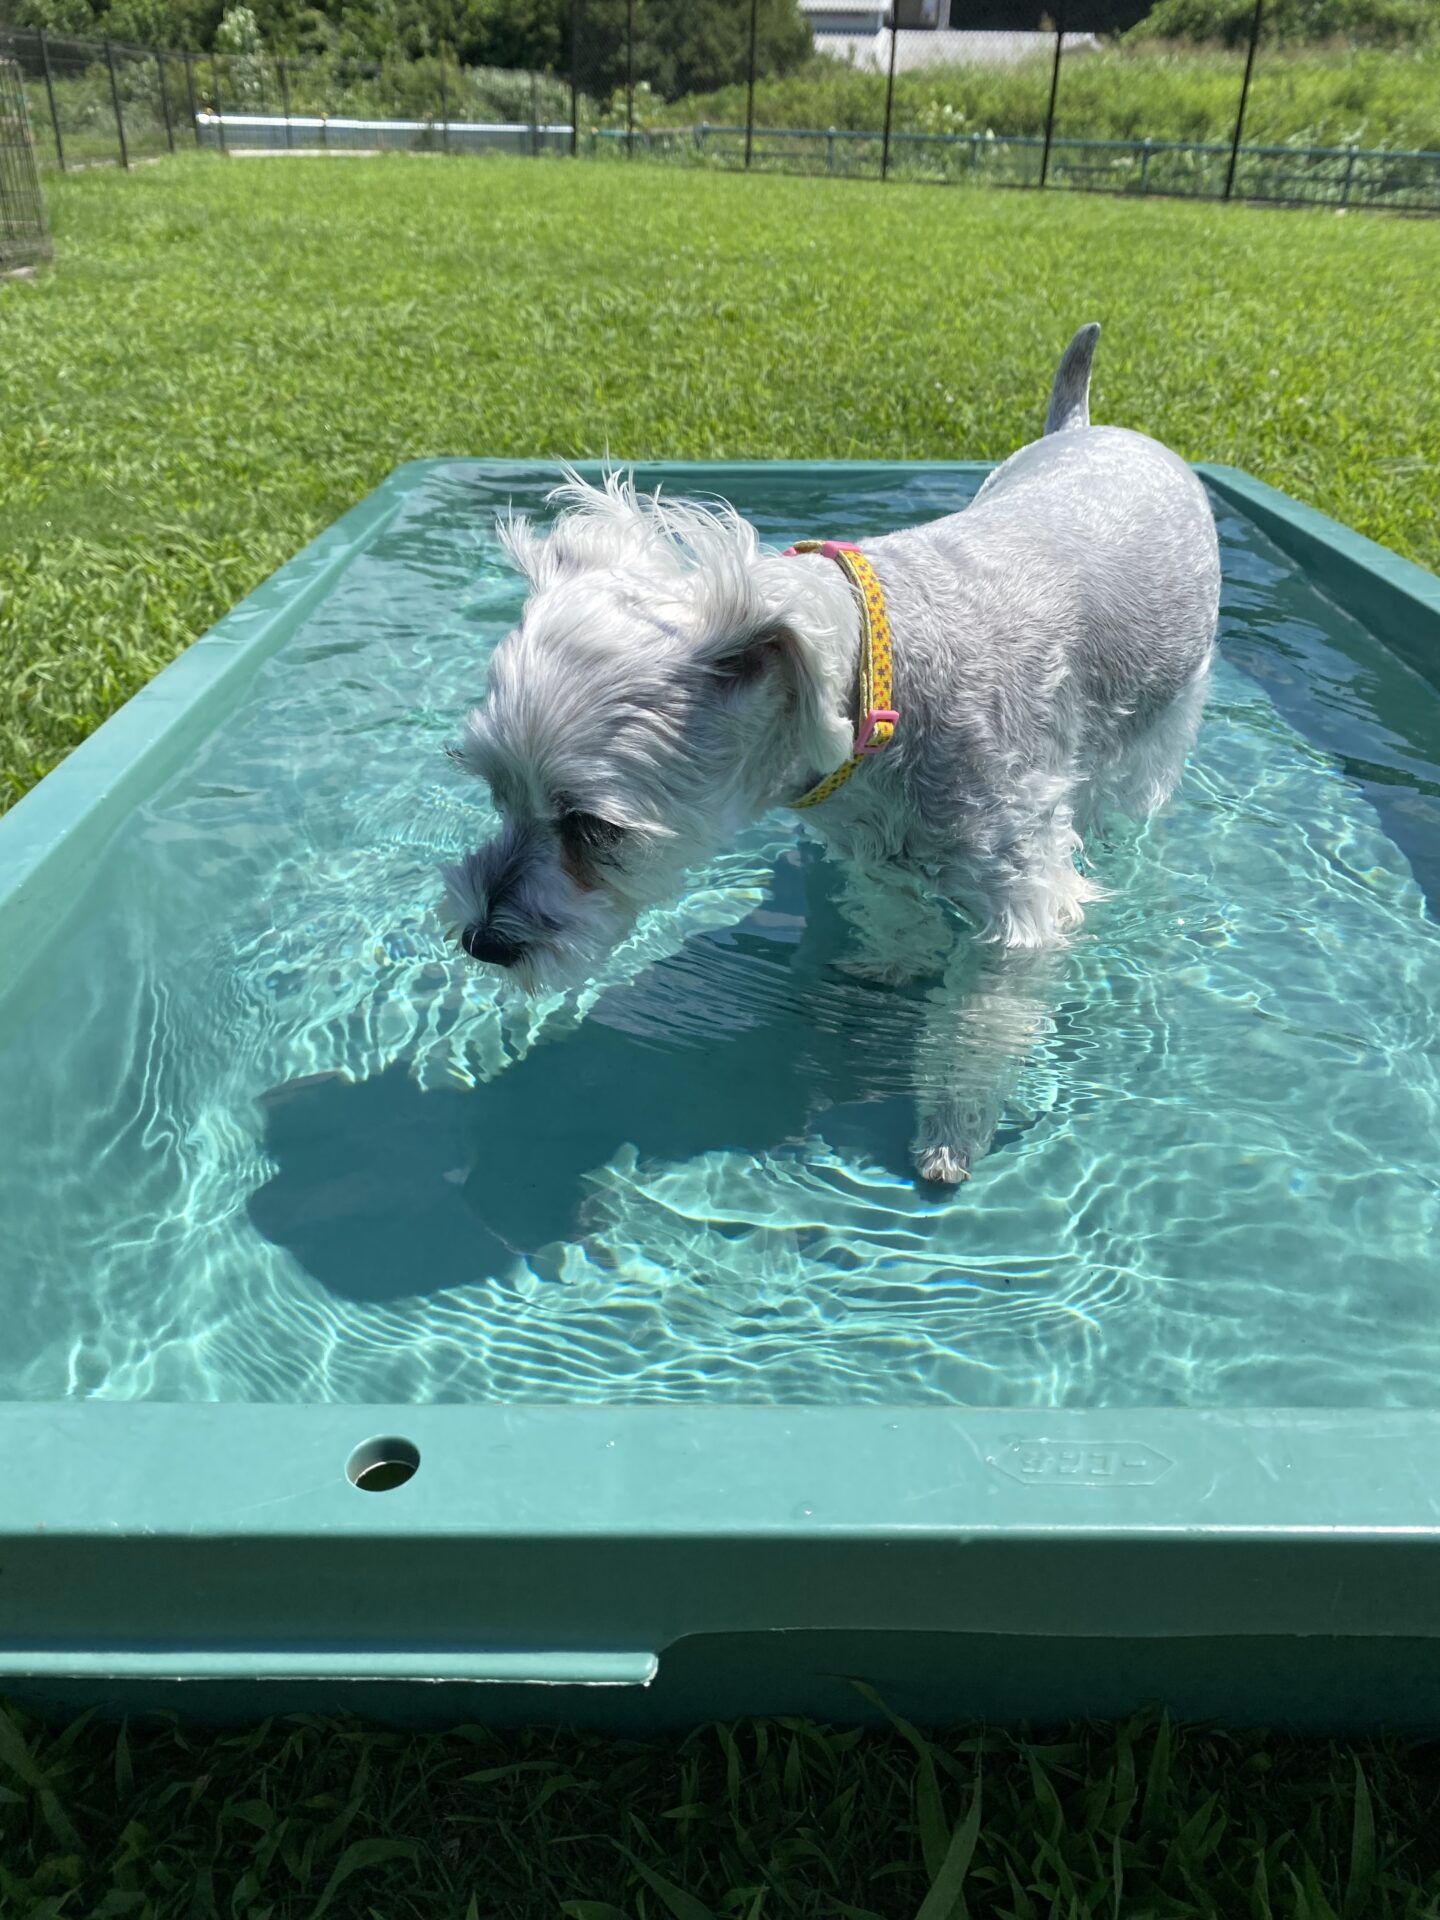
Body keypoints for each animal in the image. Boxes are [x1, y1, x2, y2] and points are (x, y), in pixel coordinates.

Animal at [443, 324, 1221, 1183]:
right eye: (495, 792)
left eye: (592, 827)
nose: (482, 941)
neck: (888, 686)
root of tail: (1093, 428)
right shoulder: (873, 850)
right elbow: (893, 918)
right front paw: (893, 967)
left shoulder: (1020, 907)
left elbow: (977, 1026)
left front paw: (952, 1133)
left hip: (1159, 732)